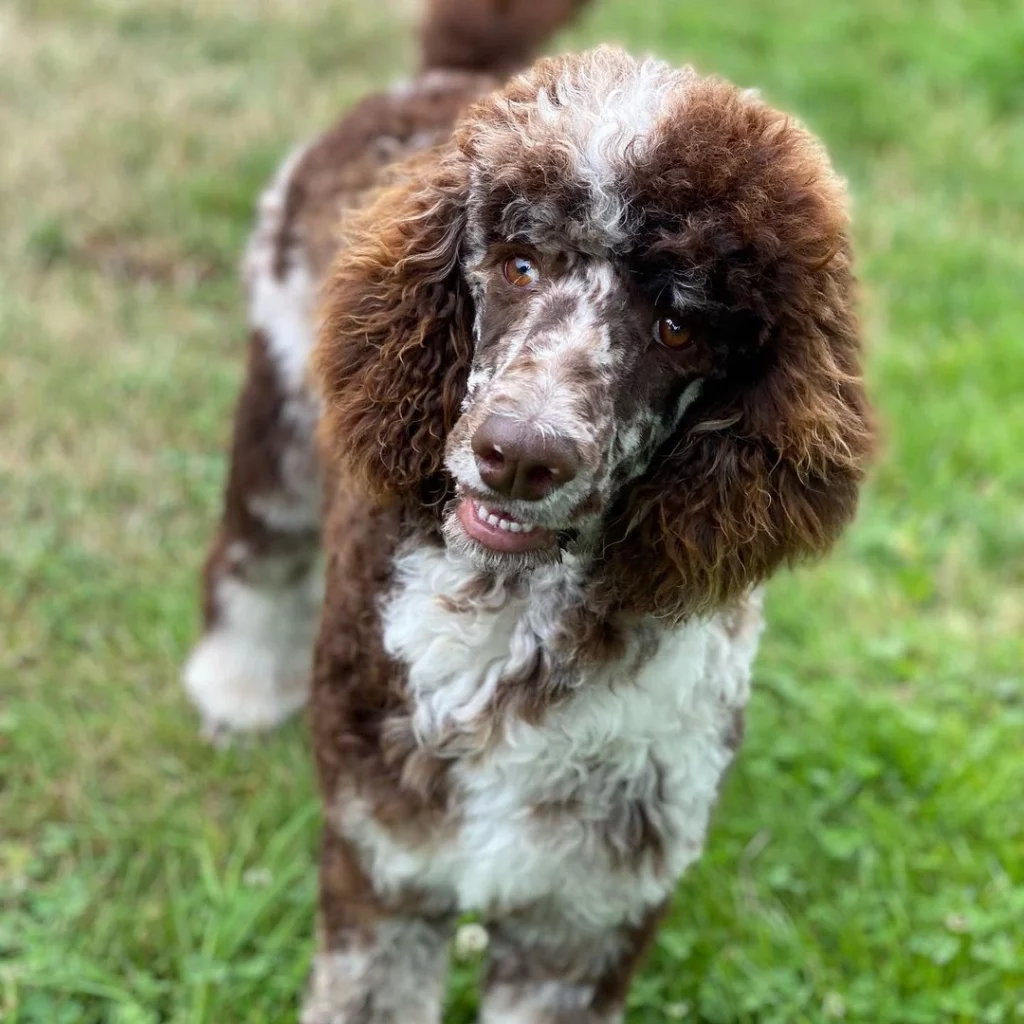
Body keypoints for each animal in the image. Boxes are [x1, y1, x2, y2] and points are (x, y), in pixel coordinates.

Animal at [182, 2, 872, 1015]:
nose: (519, 455)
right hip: (284, 404)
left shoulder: (585, 922)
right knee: (255, 549)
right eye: (518, 263)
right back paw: (236, 685)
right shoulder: (385, 872)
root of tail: (448, 76)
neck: (512, 622)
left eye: (680, 325)